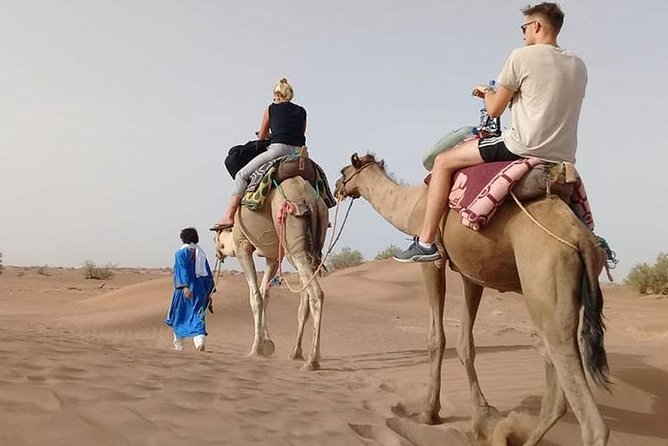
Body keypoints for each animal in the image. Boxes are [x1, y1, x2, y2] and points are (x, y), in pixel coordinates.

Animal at [214, 175, 330, 371]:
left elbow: (255, 297)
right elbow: (264, 294)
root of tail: (308, 196)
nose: (217, 253)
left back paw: (311, 361)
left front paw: (256, 349)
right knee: (305, 297)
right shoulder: (273, 257)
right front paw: (267, 343)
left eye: (216, 239)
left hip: (291, 225)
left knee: (316, 293)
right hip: (315, 233)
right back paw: (297, 353)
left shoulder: (242, 245)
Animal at [335, 153, 610, 446]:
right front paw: (482, 417)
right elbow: (466, 344)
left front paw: (429, 413)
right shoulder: (471, 274)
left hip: (546, 281)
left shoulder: (434, 261)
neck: (413, 205)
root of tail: (582, 240)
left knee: (588, 417)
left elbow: (436, 339)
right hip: (558, 300)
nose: (337, 188)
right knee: (556, 390)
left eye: (343, 170)